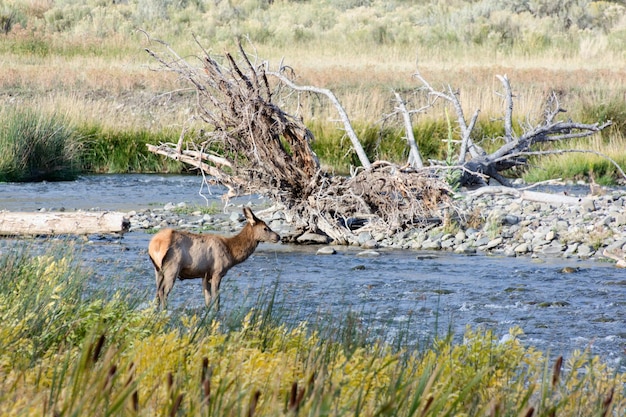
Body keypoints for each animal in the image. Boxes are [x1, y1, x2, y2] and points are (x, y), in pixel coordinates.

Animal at [147, 206, 280, 308]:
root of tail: (154, 245)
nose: (278, 236)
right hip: (172, 267)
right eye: (265, 228)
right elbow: (217, 298)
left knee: (157, 292)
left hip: (158, 270)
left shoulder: (205, 275)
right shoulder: (217, 272)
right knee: (163, 292)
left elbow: (207, 299)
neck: (231, 252)